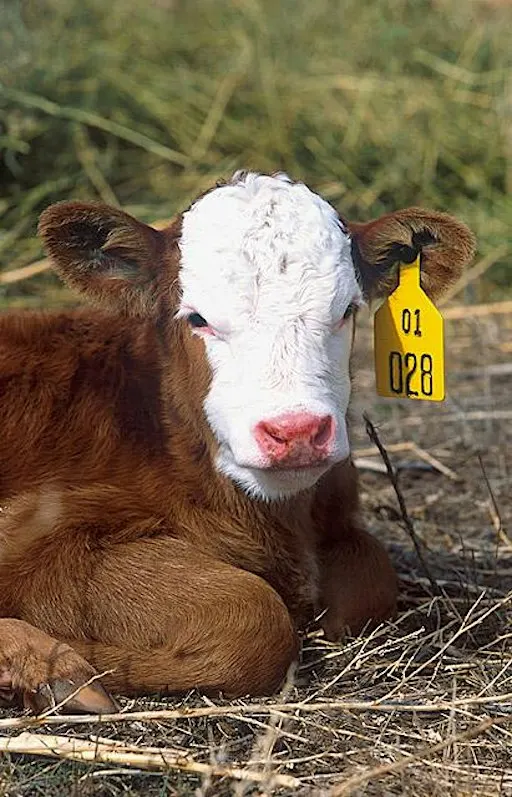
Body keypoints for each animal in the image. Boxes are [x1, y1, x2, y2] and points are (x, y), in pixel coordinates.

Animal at [0, 171, 475, 714]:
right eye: (197, 318)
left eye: (346, 311)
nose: (296, 431)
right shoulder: (37, 537)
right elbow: (253, 617)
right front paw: (75, 662)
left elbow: (370, 579)